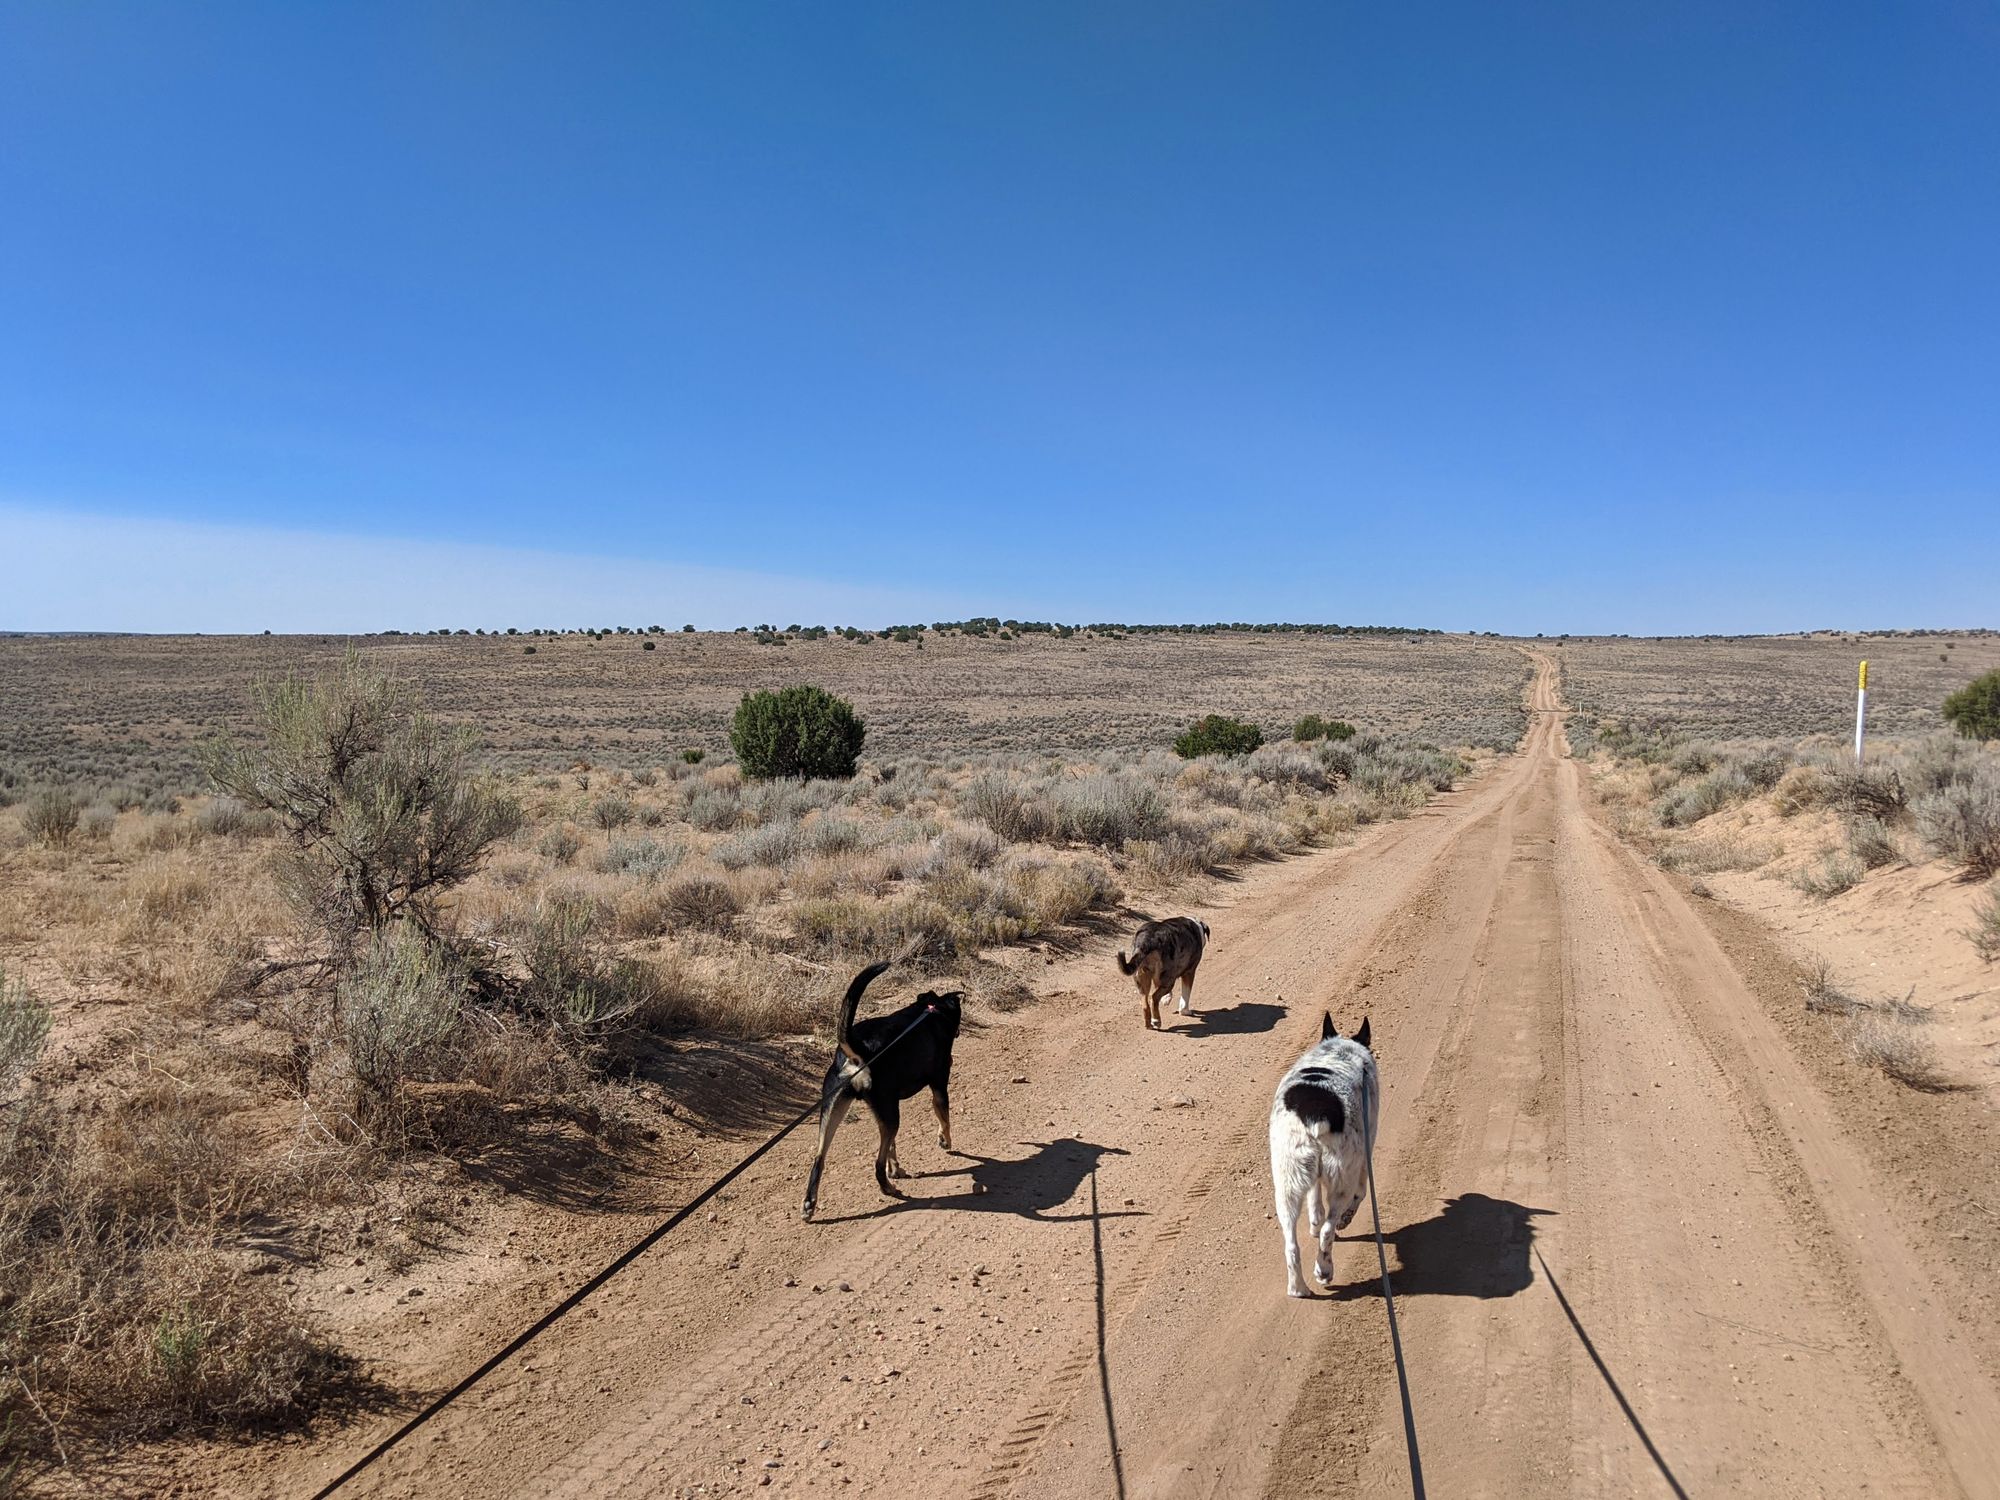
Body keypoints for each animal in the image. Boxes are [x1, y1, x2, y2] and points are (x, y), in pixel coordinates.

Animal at [796, 964, 960, 1224]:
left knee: (819, 1159)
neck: (931, 1010)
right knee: (876, 1163)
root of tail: (858, 1051)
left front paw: (896, 1168)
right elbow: (944, 1118)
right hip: (889, 1114)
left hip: (835, 1108)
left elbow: (892, 1145)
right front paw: (945, 1141)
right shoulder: (939, 1085)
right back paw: (888, 1188)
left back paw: (809, 1204)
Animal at [1264, 1016, 1376, 1296]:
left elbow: (1314, 1202)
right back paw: (1324, 1270)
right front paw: (1345, 1220)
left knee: (1291, 1245)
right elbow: (1360, 1195)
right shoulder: (1364, 1158)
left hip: (1287, 1185)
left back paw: (1298, 1288)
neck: (1339, 1052)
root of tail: (1316, 1115)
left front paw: (1313, 1223)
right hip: (1341, 1182)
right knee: (1329, 1229)